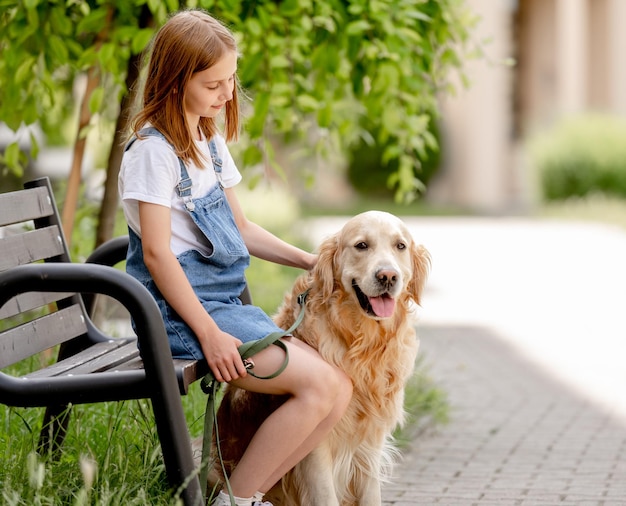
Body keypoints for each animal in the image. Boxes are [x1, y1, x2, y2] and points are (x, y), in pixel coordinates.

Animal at [214, 209, 428, 502]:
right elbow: (326, 495)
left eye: (400, 246)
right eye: (362, 245)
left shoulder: (370, 441)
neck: (362, 342)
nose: (388, 276)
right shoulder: (318, 446)